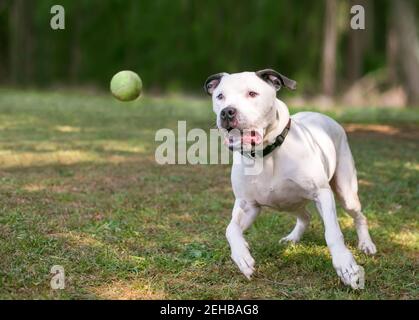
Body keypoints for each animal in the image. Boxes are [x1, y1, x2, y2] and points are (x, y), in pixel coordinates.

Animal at [205, 70, 378, 290]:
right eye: (220, 96)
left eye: (252, 93)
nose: (227, 112)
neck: (266, 154)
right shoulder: (248, 205)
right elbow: (230, 229)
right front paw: (242, 255)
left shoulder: (322, 194)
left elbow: (332, 233)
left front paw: (346, 265)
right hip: (289, 202)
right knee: (305, 216)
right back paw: (292, 238)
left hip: (345, 192)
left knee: (359, 216)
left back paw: (366, 244)